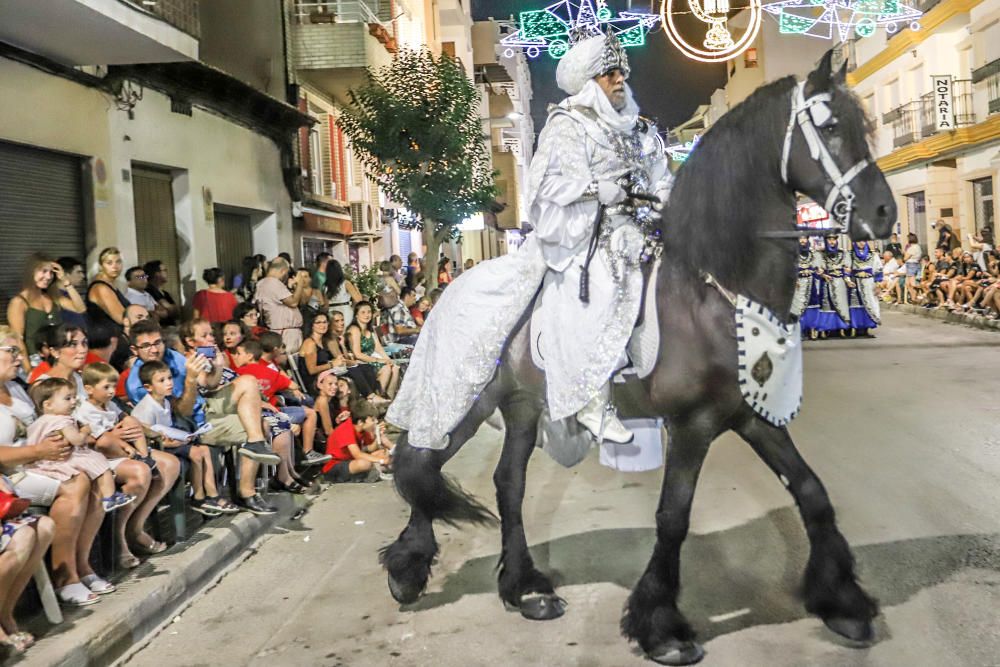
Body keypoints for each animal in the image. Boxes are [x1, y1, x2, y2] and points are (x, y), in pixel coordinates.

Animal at [378, 49, 896, 664]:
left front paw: (844, 602)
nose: (884, 213)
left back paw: (525, 588)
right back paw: (407, 570)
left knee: (507, 482)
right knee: (423, 460)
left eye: (863, 124)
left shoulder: (750, 415)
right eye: (831, 126)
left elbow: (812, 492)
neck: (709, 288)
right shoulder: (693, 422)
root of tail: (447, 288)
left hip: (523, 406)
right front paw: (662, 625)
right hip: (464, 397)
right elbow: (673, 517)